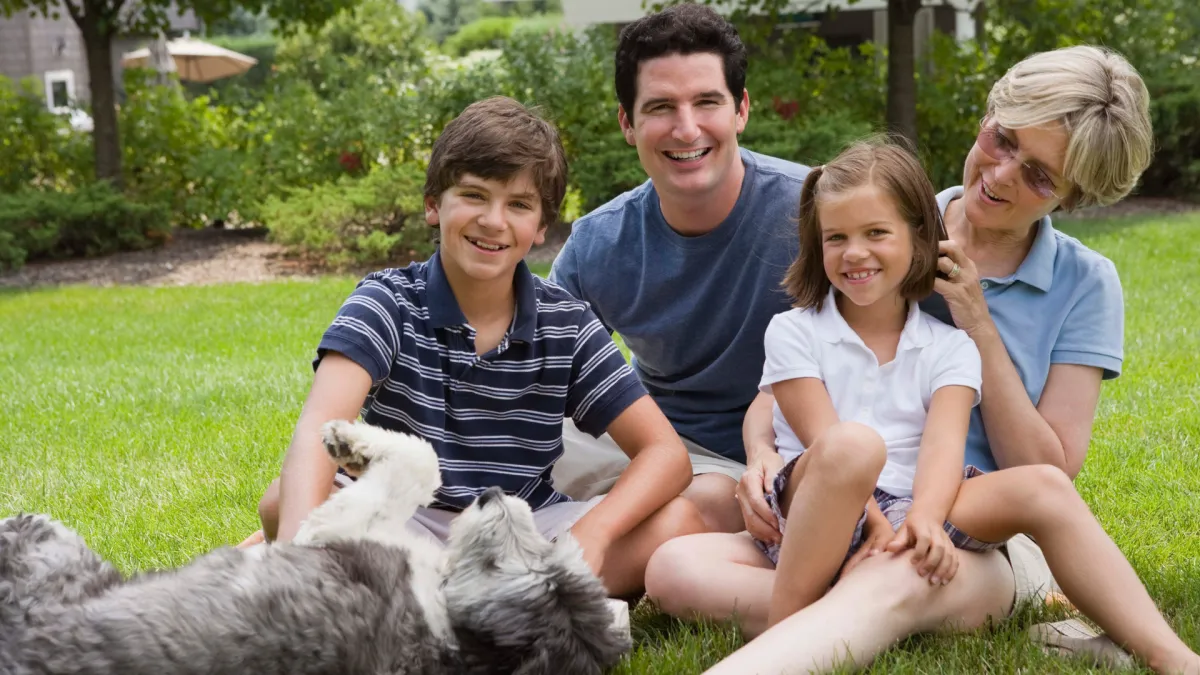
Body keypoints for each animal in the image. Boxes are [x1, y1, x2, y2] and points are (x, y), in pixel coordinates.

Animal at [0, 417, 633, 667]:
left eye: (502, 563)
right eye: (551, 551)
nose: (493, 496)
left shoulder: (331, 533)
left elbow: (417, 463)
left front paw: (348, 440)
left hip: (58, 555)